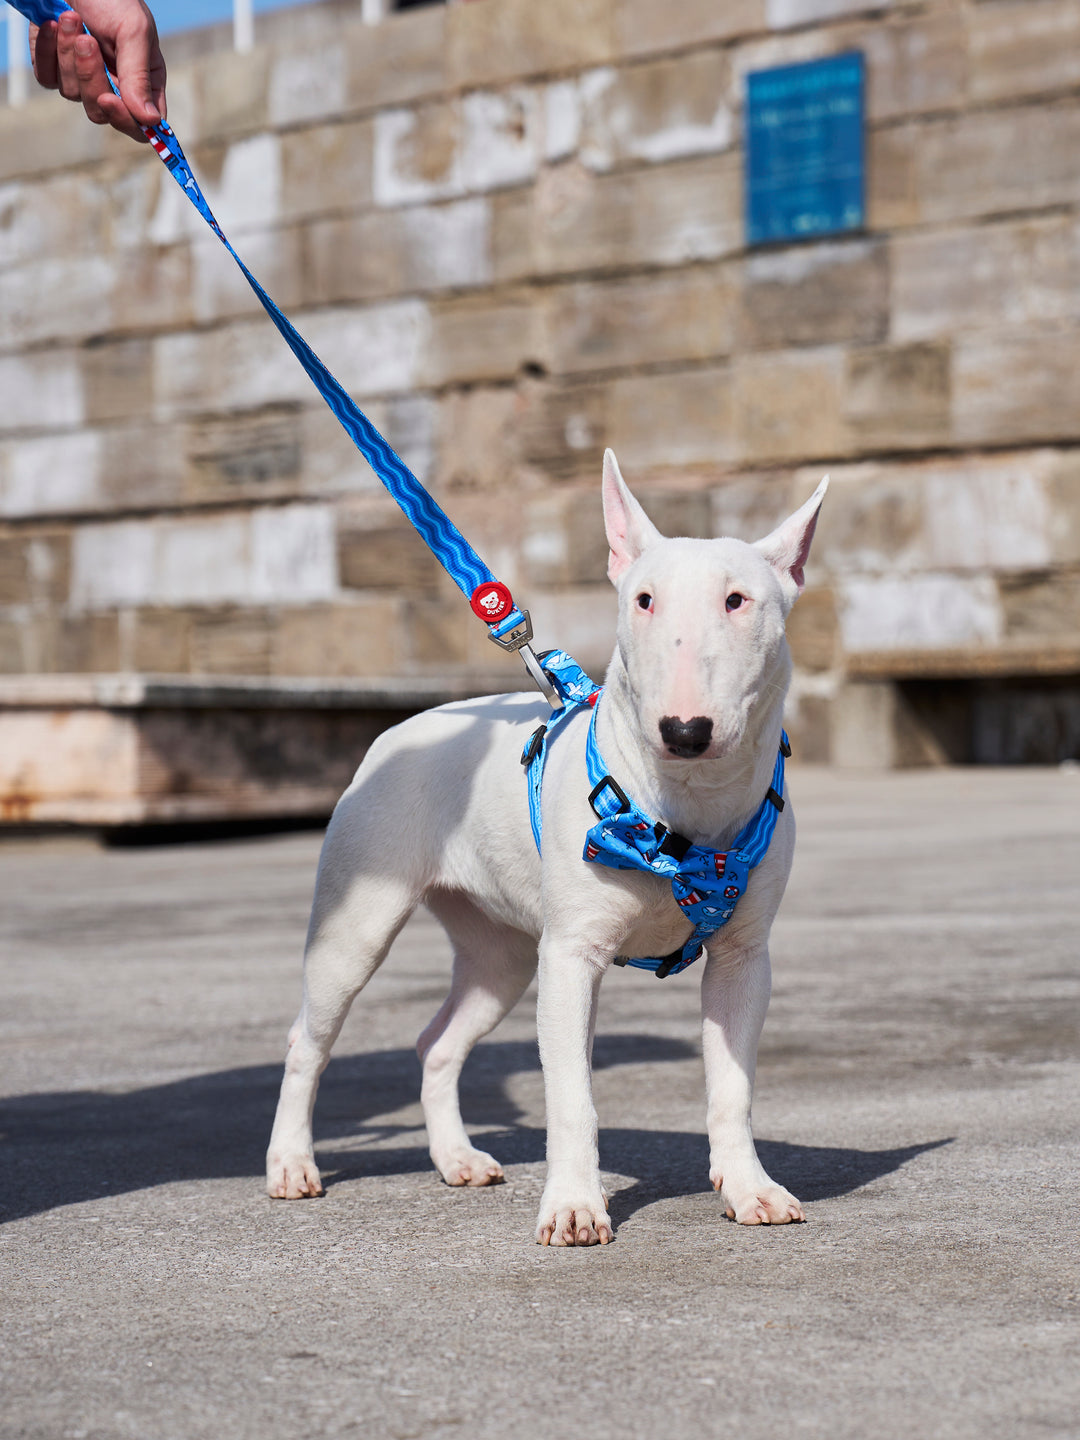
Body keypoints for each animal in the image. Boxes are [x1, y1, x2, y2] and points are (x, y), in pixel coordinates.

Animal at [269, 452, 829, 1249]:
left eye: (738, 599)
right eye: (644, 600)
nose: (684, 730)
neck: (683, 813)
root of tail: (404, 728)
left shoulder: (744, 959)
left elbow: (733, 1085)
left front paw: (750, 1188)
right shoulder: (570, 956)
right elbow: (572, 1096)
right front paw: (573, 1208)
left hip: (499, 952)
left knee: (438, 1042)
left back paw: (456, 1158)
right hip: (358, 921)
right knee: (307, 1040)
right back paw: (291, 1163)